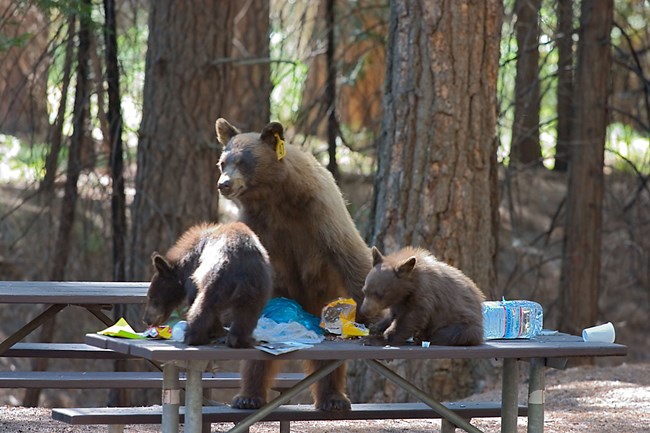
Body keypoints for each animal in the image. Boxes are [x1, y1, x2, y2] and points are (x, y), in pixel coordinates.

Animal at [215, 119, 370, 412]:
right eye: (222, 162)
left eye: (243, 161)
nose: (224, 185)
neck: (276, 195)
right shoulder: (257, 223)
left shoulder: (320, 214)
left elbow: (350, 253)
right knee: (256, 359)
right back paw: (247, 396)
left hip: (325, 297)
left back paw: (334, 398)